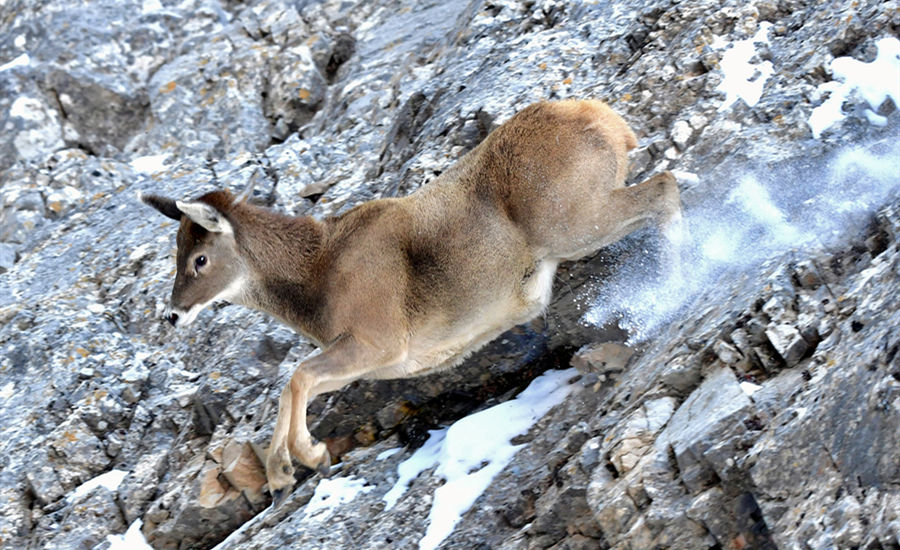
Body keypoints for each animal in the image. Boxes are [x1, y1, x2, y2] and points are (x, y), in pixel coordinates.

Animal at [140, 99, 683, 507]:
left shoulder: (381, 340)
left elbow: (296, 376)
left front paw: (308, 455)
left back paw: (674, 281)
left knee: (665, 189)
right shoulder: (375, 359)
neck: (317, 282)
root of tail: (607, 122)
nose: (172, 314)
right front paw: (282, 474)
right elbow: (296, 385)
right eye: (177, 253)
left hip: (572, 220)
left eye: (200, 259)